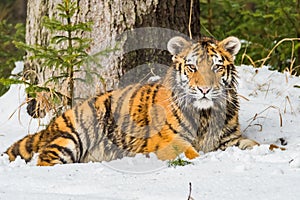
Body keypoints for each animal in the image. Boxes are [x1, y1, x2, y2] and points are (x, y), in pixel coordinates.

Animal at [3, 35, 258, 166]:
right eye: (192, 67)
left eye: (216, 67)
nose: (205, 89)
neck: (205, 113)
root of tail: (53, 123)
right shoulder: (166, 141)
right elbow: (190, 152)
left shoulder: (230, 139)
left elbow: (254, 145)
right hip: (73, 134)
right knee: (46, 159)